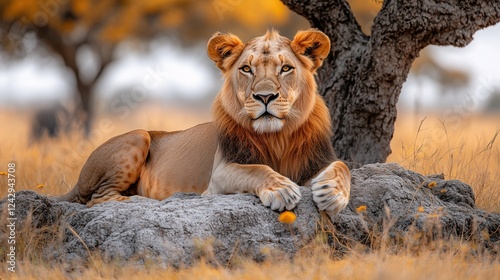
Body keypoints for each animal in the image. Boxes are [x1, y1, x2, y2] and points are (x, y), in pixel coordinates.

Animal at [55, 29, 352, 217]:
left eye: (286, 68)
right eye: (247, 69)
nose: (265, 96)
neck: (277, 136)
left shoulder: (316, 160)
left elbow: (342, 166)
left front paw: (331, 193)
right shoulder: (219, 176)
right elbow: (256, 169)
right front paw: (281, 190)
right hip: (139, 135)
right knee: (98, 199)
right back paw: (141, 199)